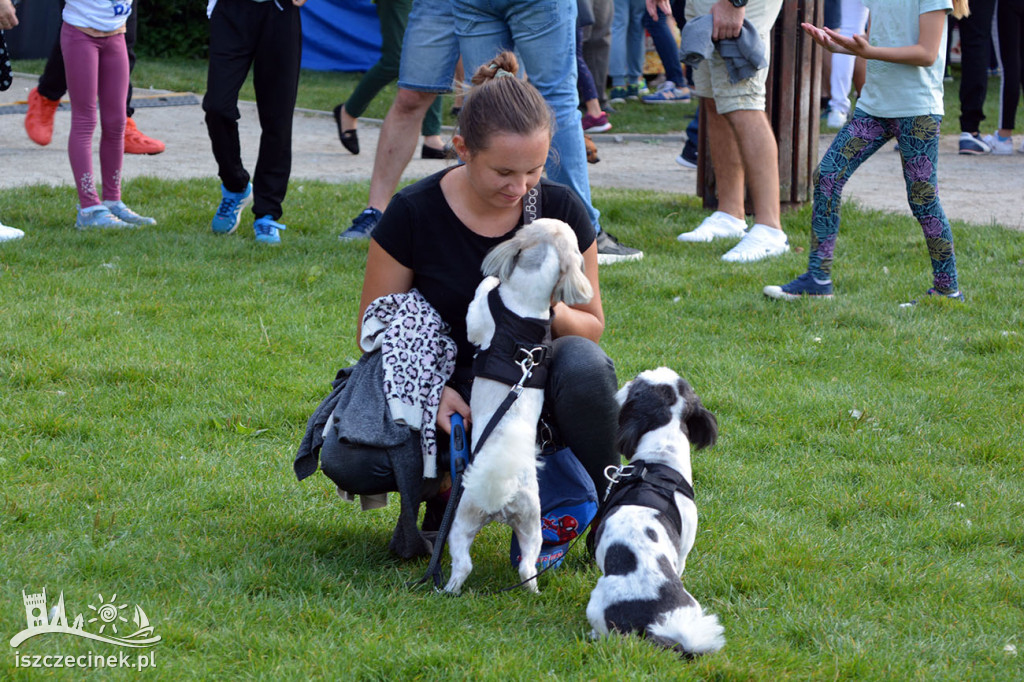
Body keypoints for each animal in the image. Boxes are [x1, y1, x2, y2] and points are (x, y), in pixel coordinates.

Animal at [444, 220, 598, 593]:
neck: (526, 308)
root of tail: (504, 493)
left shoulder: (482, 318)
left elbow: (481, 300)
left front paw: (492, 281)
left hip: (462, 520)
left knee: (462, 564)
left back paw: (446, 589)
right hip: (531, 525)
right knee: (527, 565)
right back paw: (532, 590)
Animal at [585, 366, 729, 655]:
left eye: (637, 382)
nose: (631, 376)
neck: (660, 459)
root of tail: (655, 622)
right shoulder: (685, 545)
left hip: (597, 602)